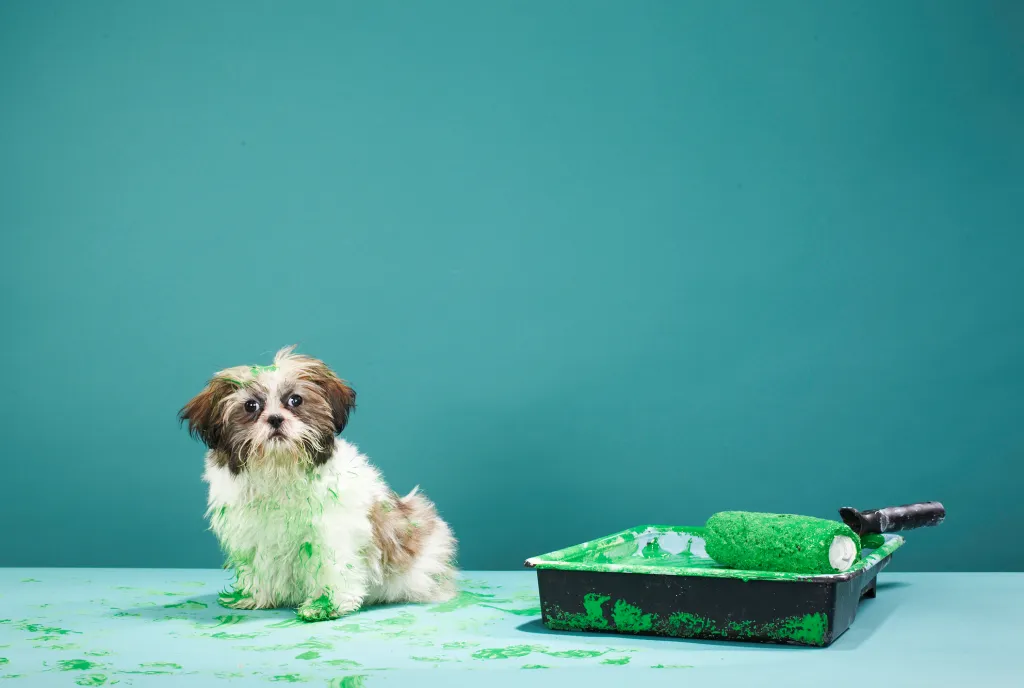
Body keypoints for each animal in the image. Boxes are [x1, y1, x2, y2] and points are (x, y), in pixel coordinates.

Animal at [179, 346, 456, 622]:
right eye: (250, 406)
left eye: (295, 401)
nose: (276, 419)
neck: (280, 468)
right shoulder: (253, 534)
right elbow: (257, 566)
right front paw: (254, 596)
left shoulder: (331, 531)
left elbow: (331, 567)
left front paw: (326, 605)